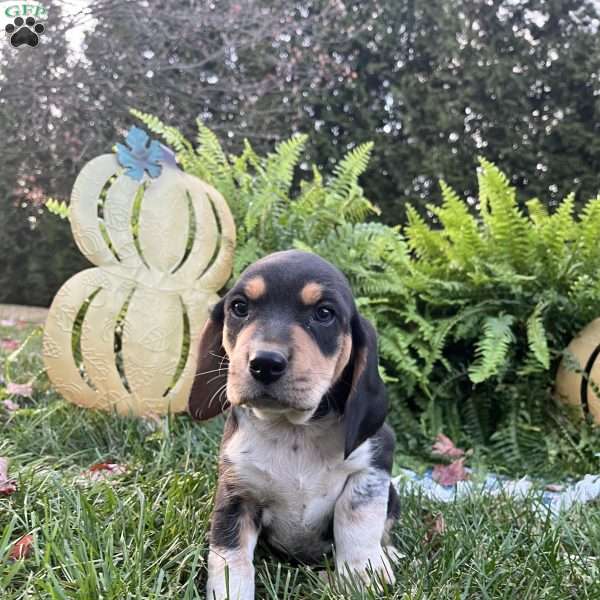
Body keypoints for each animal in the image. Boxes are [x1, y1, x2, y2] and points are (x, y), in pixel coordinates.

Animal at [189, 250, 398, 600]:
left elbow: (357, 522)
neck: (294, 429)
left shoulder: (371, 467)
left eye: (324, 313)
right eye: (239, 307)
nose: (264, 363)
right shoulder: (236, 494)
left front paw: (362, 576)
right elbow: (231, 560)